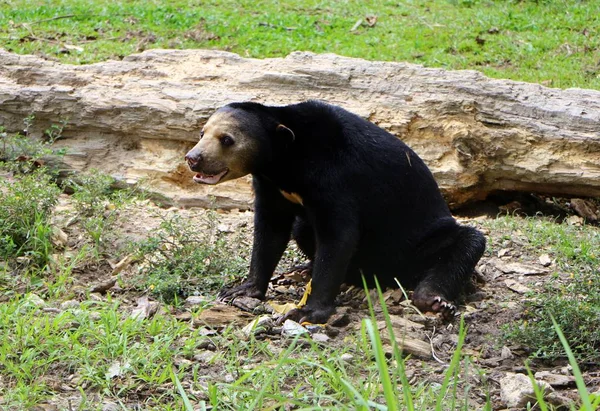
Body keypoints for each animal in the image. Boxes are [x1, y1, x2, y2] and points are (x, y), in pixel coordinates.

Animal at [186, 100, 488, 326]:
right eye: (202, 133)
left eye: (227, 140)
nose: (192, 158)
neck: (285, 164)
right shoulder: (272, 187)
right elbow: (270, 229)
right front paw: (241, 289)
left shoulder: (336, 177)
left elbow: (339, 236)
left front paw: (307, 311)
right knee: (302, 229)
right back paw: (303, 271)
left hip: (420, 241)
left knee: (466, 243)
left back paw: (434, 300)